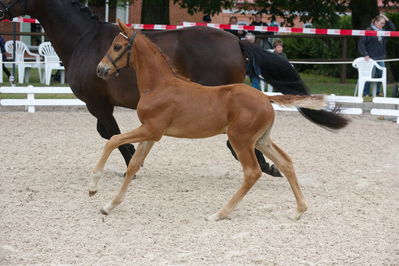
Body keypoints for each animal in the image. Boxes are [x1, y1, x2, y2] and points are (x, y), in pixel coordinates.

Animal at [94, 20, 328, 220]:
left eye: (117, 46)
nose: (100, 69)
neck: (159, 86)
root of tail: (265, 97)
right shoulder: (151, 133)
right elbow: (133, 164)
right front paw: (108, 206)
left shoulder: (151, 129)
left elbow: (113, 140)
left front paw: (93, 186)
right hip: (261, 139)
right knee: (285, 162)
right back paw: (298, 210)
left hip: (240, 139)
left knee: (252, 172)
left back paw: (219, 214)